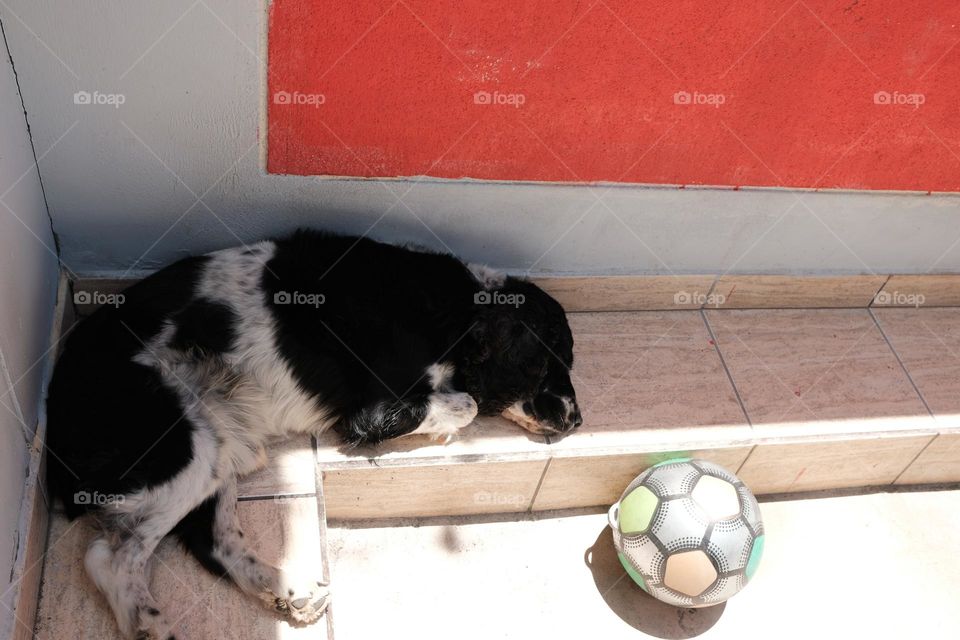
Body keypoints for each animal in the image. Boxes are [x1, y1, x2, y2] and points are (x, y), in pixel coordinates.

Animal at [48, 230, 580, 640]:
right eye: (553, 359)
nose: (577, 421)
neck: (455, 309)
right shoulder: (375, 408)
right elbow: (464, 406)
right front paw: (449, 423)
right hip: (185, 446)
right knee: (112, 555)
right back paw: (149, 621)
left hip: (218, 442)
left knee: (215, 541)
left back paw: (289, 589)